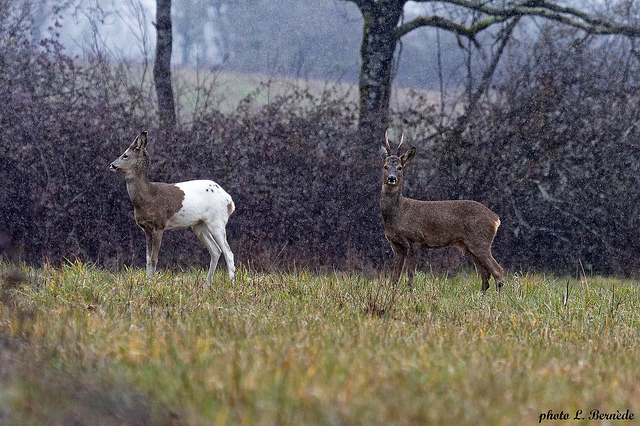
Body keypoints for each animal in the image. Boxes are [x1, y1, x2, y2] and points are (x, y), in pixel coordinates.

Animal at [110, 132, 235, 286]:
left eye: (125, 155)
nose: (112, 165)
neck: (148, 196)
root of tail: (229, 200)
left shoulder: (159, 225)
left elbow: (154, 258)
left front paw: (152, 283)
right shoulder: (146, 229)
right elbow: (147, 259)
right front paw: (146, 282)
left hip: (216, 221)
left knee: (228, 252)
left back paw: (232, 284)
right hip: (199, 225)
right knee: (216, 251)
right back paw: (207, 285)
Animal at [380, 133, 504, 292]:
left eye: (400, 167)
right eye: (385, 166)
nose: (391, 178)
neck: (398, 213)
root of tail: (496, 218)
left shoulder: (415, 239)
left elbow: (410, 272)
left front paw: (411, 291)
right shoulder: (396, 244)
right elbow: (395, 275)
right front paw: (392, 293)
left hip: (480, 241)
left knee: (497, 271)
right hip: (470, 245)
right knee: (485, 275)